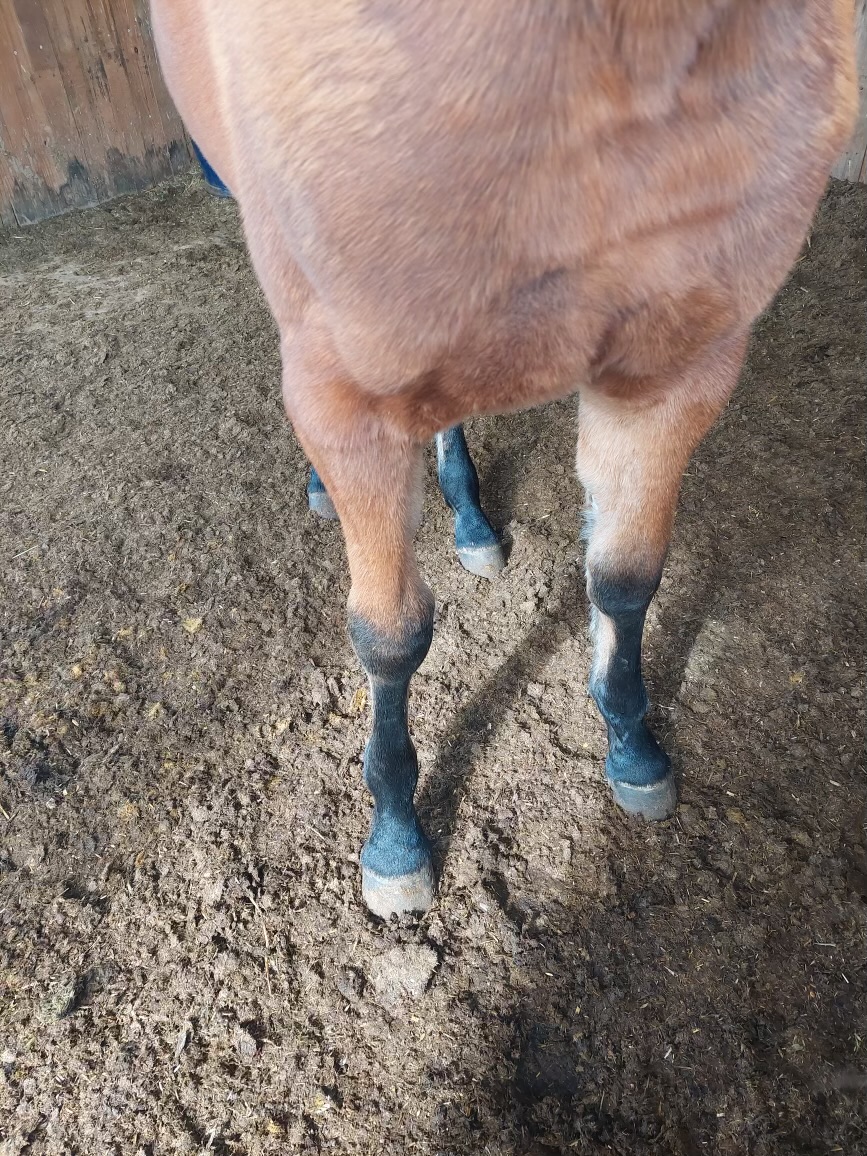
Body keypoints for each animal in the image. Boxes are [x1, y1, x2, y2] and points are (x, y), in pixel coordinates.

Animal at [150, 0, 856, 918]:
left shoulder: (677, 371)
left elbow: (624, 576)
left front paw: (631, 746)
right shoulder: (347, 405)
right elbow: (389, 635)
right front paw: (395, 839)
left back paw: (472, 520)